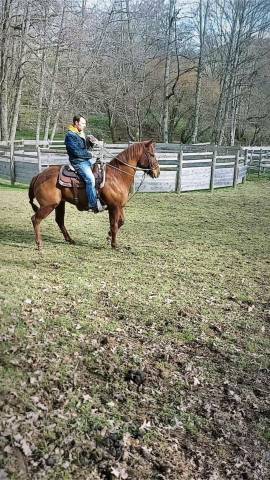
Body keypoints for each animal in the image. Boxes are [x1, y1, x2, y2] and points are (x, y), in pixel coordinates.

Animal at [29, 141, 160, 249]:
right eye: (152, 155)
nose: (157, 172)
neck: (117, 176)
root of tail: (38, 176)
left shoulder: (119, 206)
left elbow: (121, 222)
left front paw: (108, 237)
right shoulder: (114, 207)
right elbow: (114, 224)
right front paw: (114, 244)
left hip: (60, 204)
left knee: (59, 221)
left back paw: (70, 240)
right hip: (48, 205)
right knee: (36, 219)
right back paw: (39, 244)